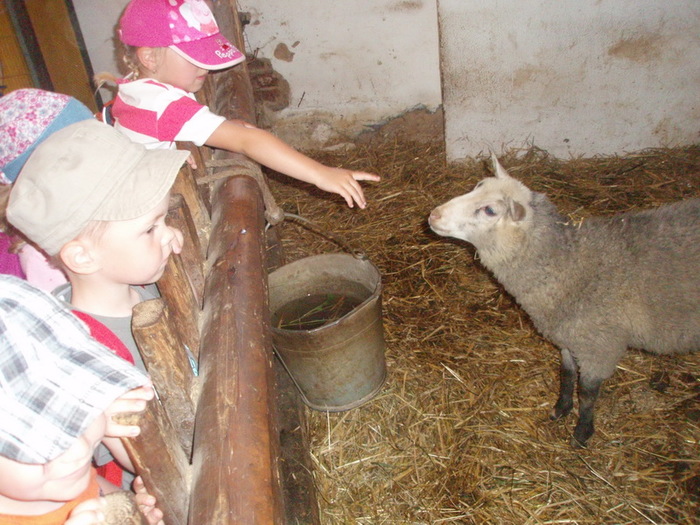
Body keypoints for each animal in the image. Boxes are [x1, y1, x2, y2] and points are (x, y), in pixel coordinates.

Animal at [428, 155, 700, 447]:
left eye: (489, 210)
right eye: (478, 185)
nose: (434, 215)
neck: (568, 265)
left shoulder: (600, 347)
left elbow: (588, 393)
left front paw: (582, 432)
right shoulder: (569, 338)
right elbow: (567, 375)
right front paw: (560, 409)